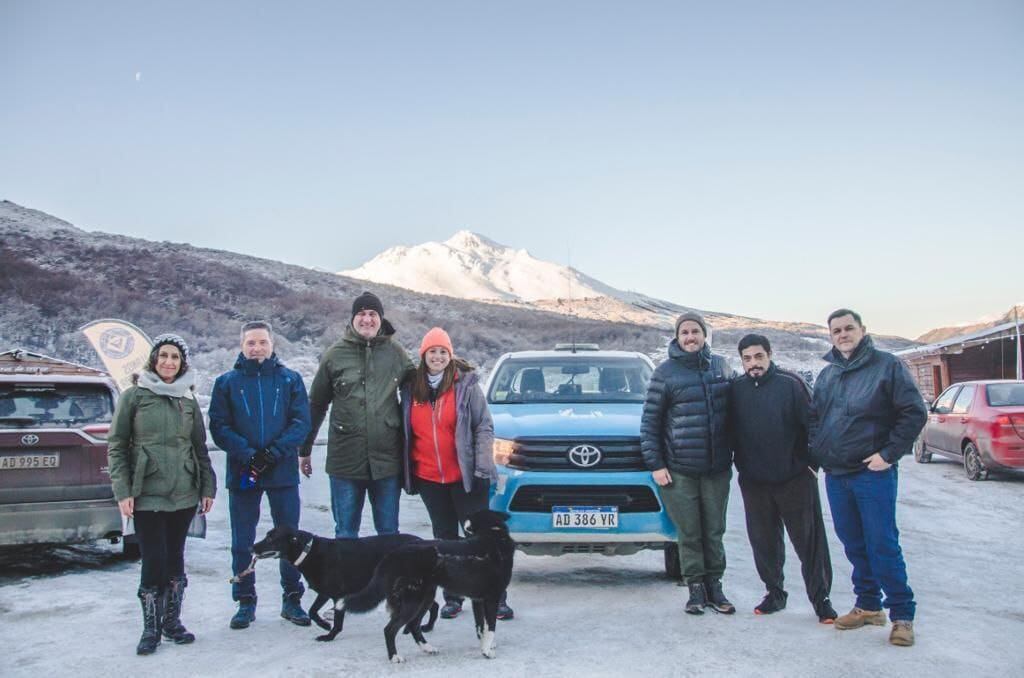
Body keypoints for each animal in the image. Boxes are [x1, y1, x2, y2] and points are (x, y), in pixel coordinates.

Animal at [253, 528, 438, 647]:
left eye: (270, 539)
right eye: (267, 535)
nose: (252, 547)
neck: (309, 550)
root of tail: (424, 543)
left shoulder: (336, 594)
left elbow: (335, 621)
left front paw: (328, 634)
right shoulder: (325, 592)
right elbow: (312, 611)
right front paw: (324, 626)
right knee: (433, 605)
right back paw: (426, 627)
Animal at [344, 510, 516, 663]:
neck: (492, 536)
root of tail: (394, 554)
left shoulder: (478, 600)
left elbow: (481, 626)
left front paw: (484, 646)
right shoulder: (491, 598)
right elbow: (491, 627)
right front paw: (487, 652)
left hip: (425, 598)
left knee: (413, 625)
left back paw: (427, 648)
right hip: (413, 601)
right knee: (390, 629)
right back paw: (394, 657)